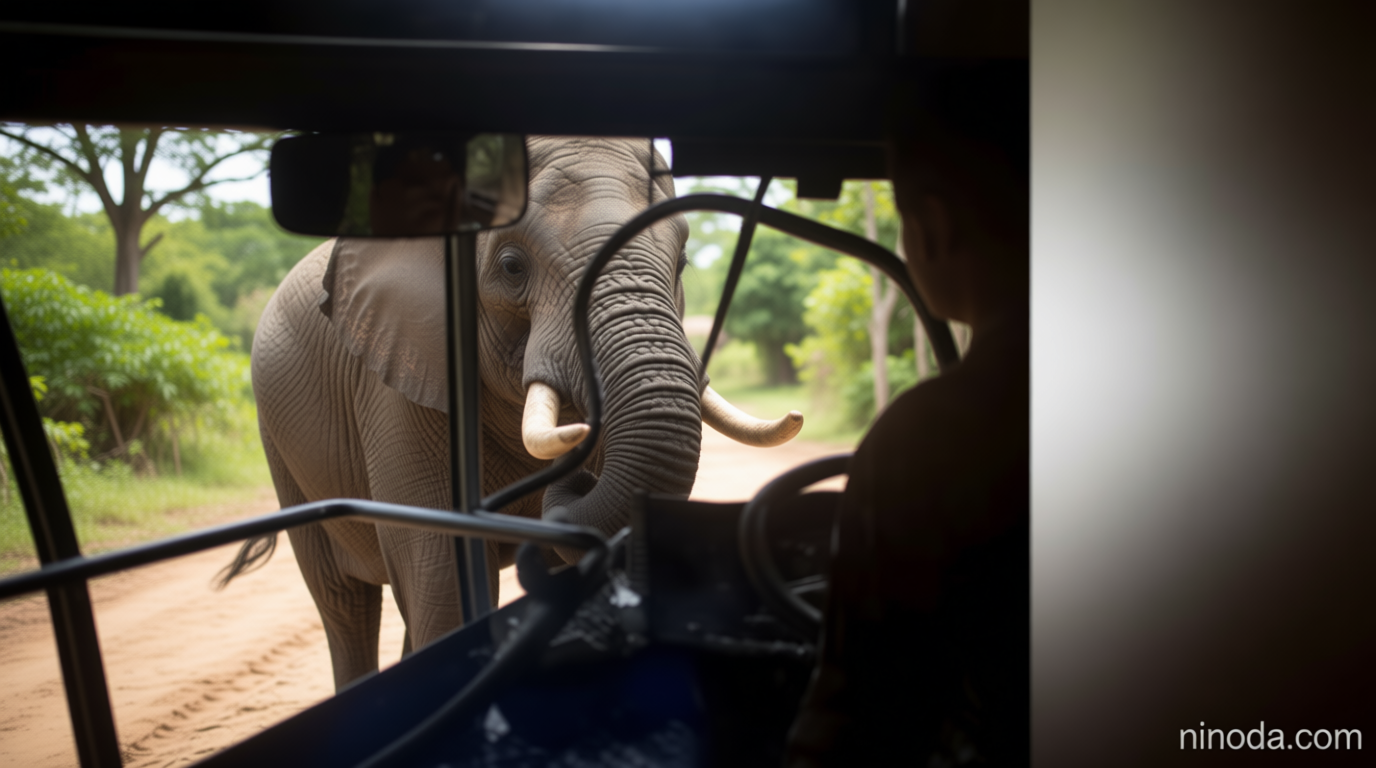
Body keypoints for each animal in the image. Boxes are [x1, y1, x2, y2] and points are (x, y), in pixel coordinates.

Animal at [221, 137, 804, 689]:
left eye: (680, 263)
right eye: (511, 266)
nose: (578, 472)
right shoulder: (399, 379)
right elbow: (443, 577)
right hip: (279, 444)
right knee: (344, 605)